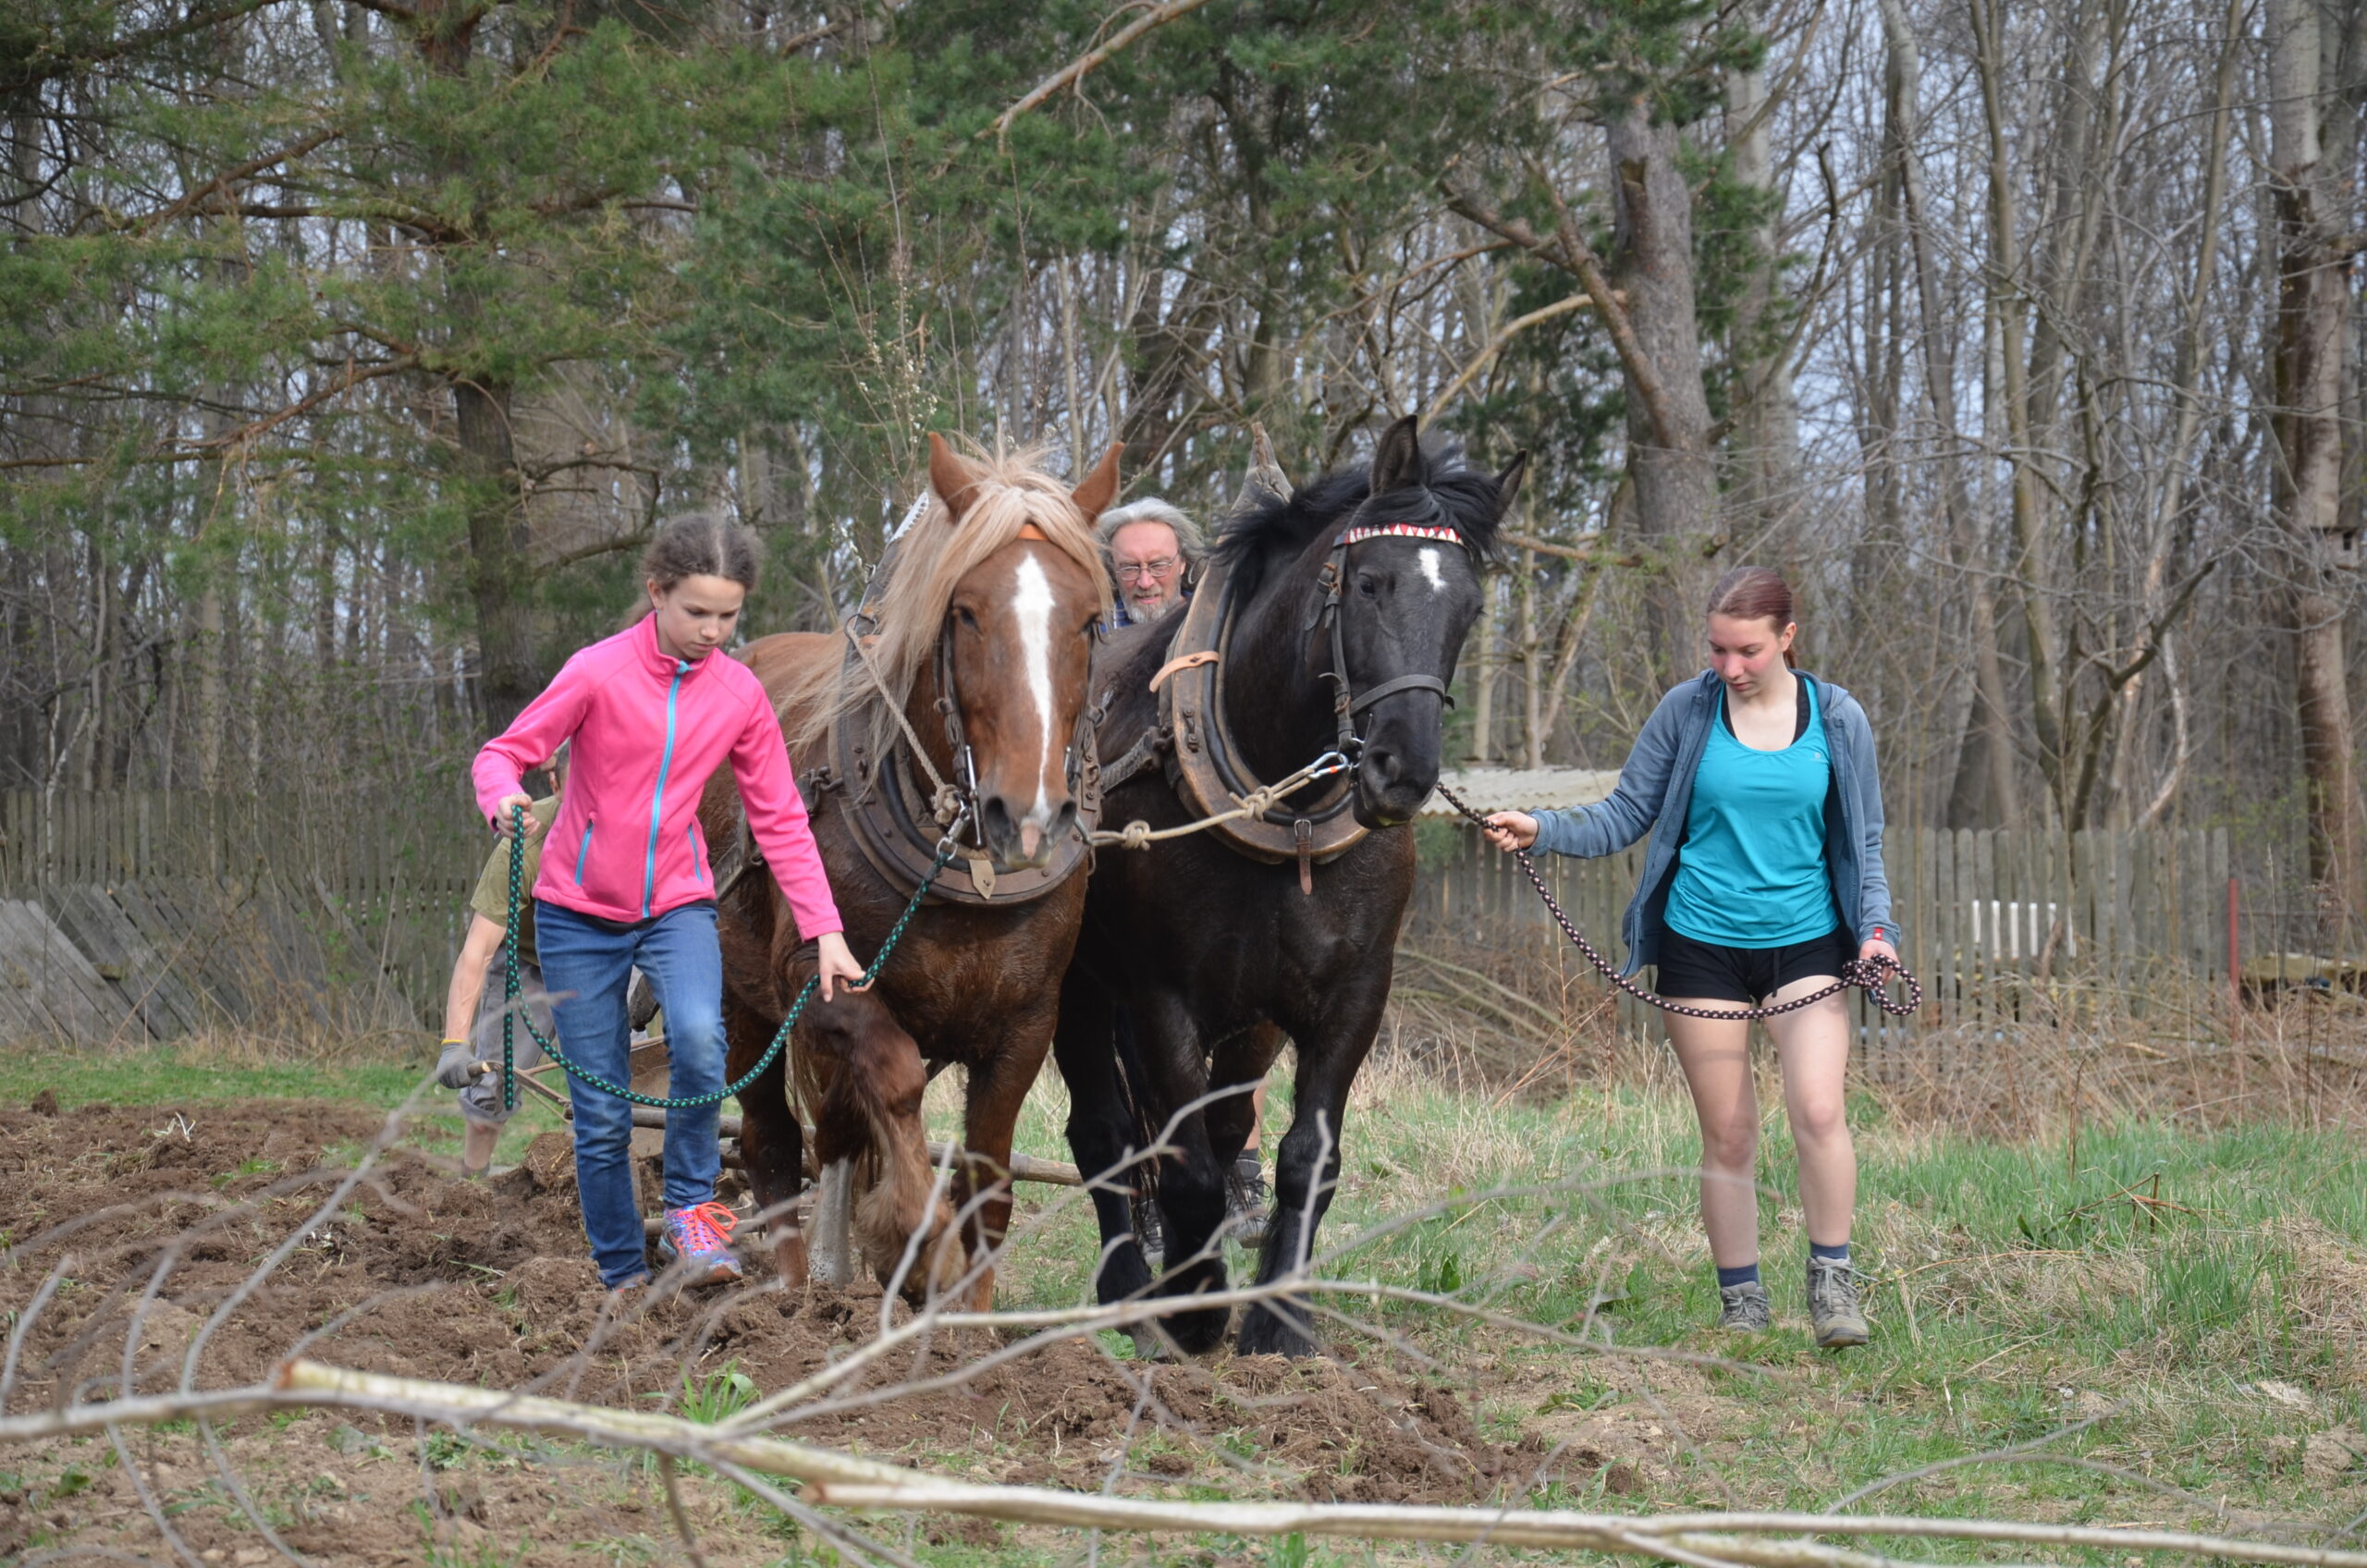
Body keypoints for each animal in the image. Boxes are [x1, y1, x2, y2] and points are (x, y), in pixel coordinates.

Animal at [707, 435, 1116, 1306]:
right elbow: (891, 1082)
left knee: (831, 1129)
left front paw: (970, 1313)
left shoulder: (1028, 1018)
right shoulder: (817, 979)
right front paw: (915, 1244)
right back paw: (794, 1291)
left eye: (1091, 621)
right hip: (737, 997)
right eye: (964, 612)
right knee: (771, 1139)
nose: (1028, 814)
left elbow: (987, 1175)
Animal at [1053, 414, 1524, 1356]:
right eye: (1370, 583)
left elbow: (1308, 1154)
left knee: (1223, 1124)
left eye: (1470, 606)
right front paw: (1195, 1307)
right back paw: (1130, 1290)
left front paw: (1280, 1321)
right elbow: (1184, 1164)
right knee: (1105, 1132)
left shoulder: (1348, 992)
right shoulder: (1162, 996)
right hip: (1074, 984)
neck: (1285, 804)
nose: (1402, 771)